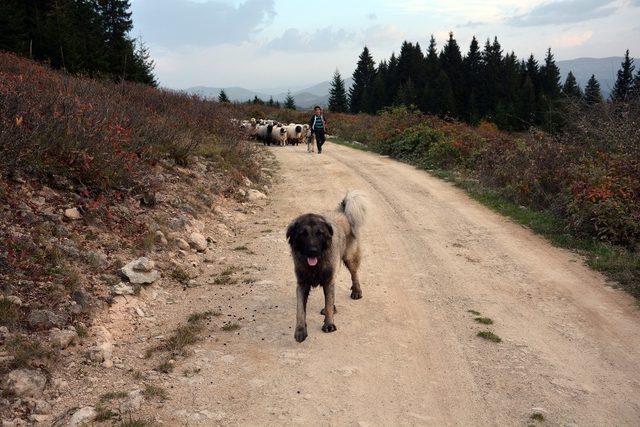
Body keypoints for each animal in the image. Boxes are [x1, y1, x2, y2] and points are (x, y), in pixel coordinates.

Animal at [284, 192, 364, 342]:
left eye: (319, 233)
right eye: (303, 234)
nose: (313, 251)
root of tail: (342, 212)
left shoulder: (328, 279)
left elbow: (328, 303)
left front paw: (329, 324)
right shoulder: (302, 284)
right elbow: (300, 310)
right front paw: (300, 331)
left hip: (349, 258)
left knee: (354, 273)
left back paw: (356, 291)